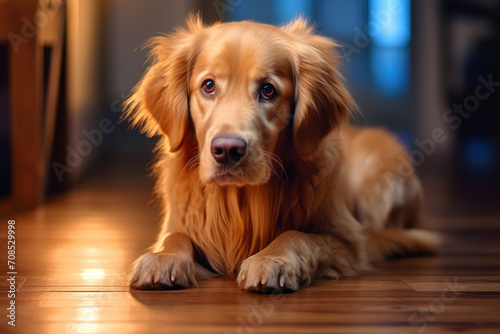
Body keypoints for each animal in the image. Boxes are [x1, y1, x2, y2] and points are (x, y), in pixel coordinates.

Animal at [125, 15, 442, 292]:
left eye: (268, 90)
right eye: (208, 86)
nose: (227, 150)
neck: (241, 201)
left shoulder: (350, 243)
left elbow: (298, 236)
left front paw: (272, 260)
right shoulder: (180, 222)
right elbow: (175, 235)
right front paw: (164, 258)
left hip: (379, 178)